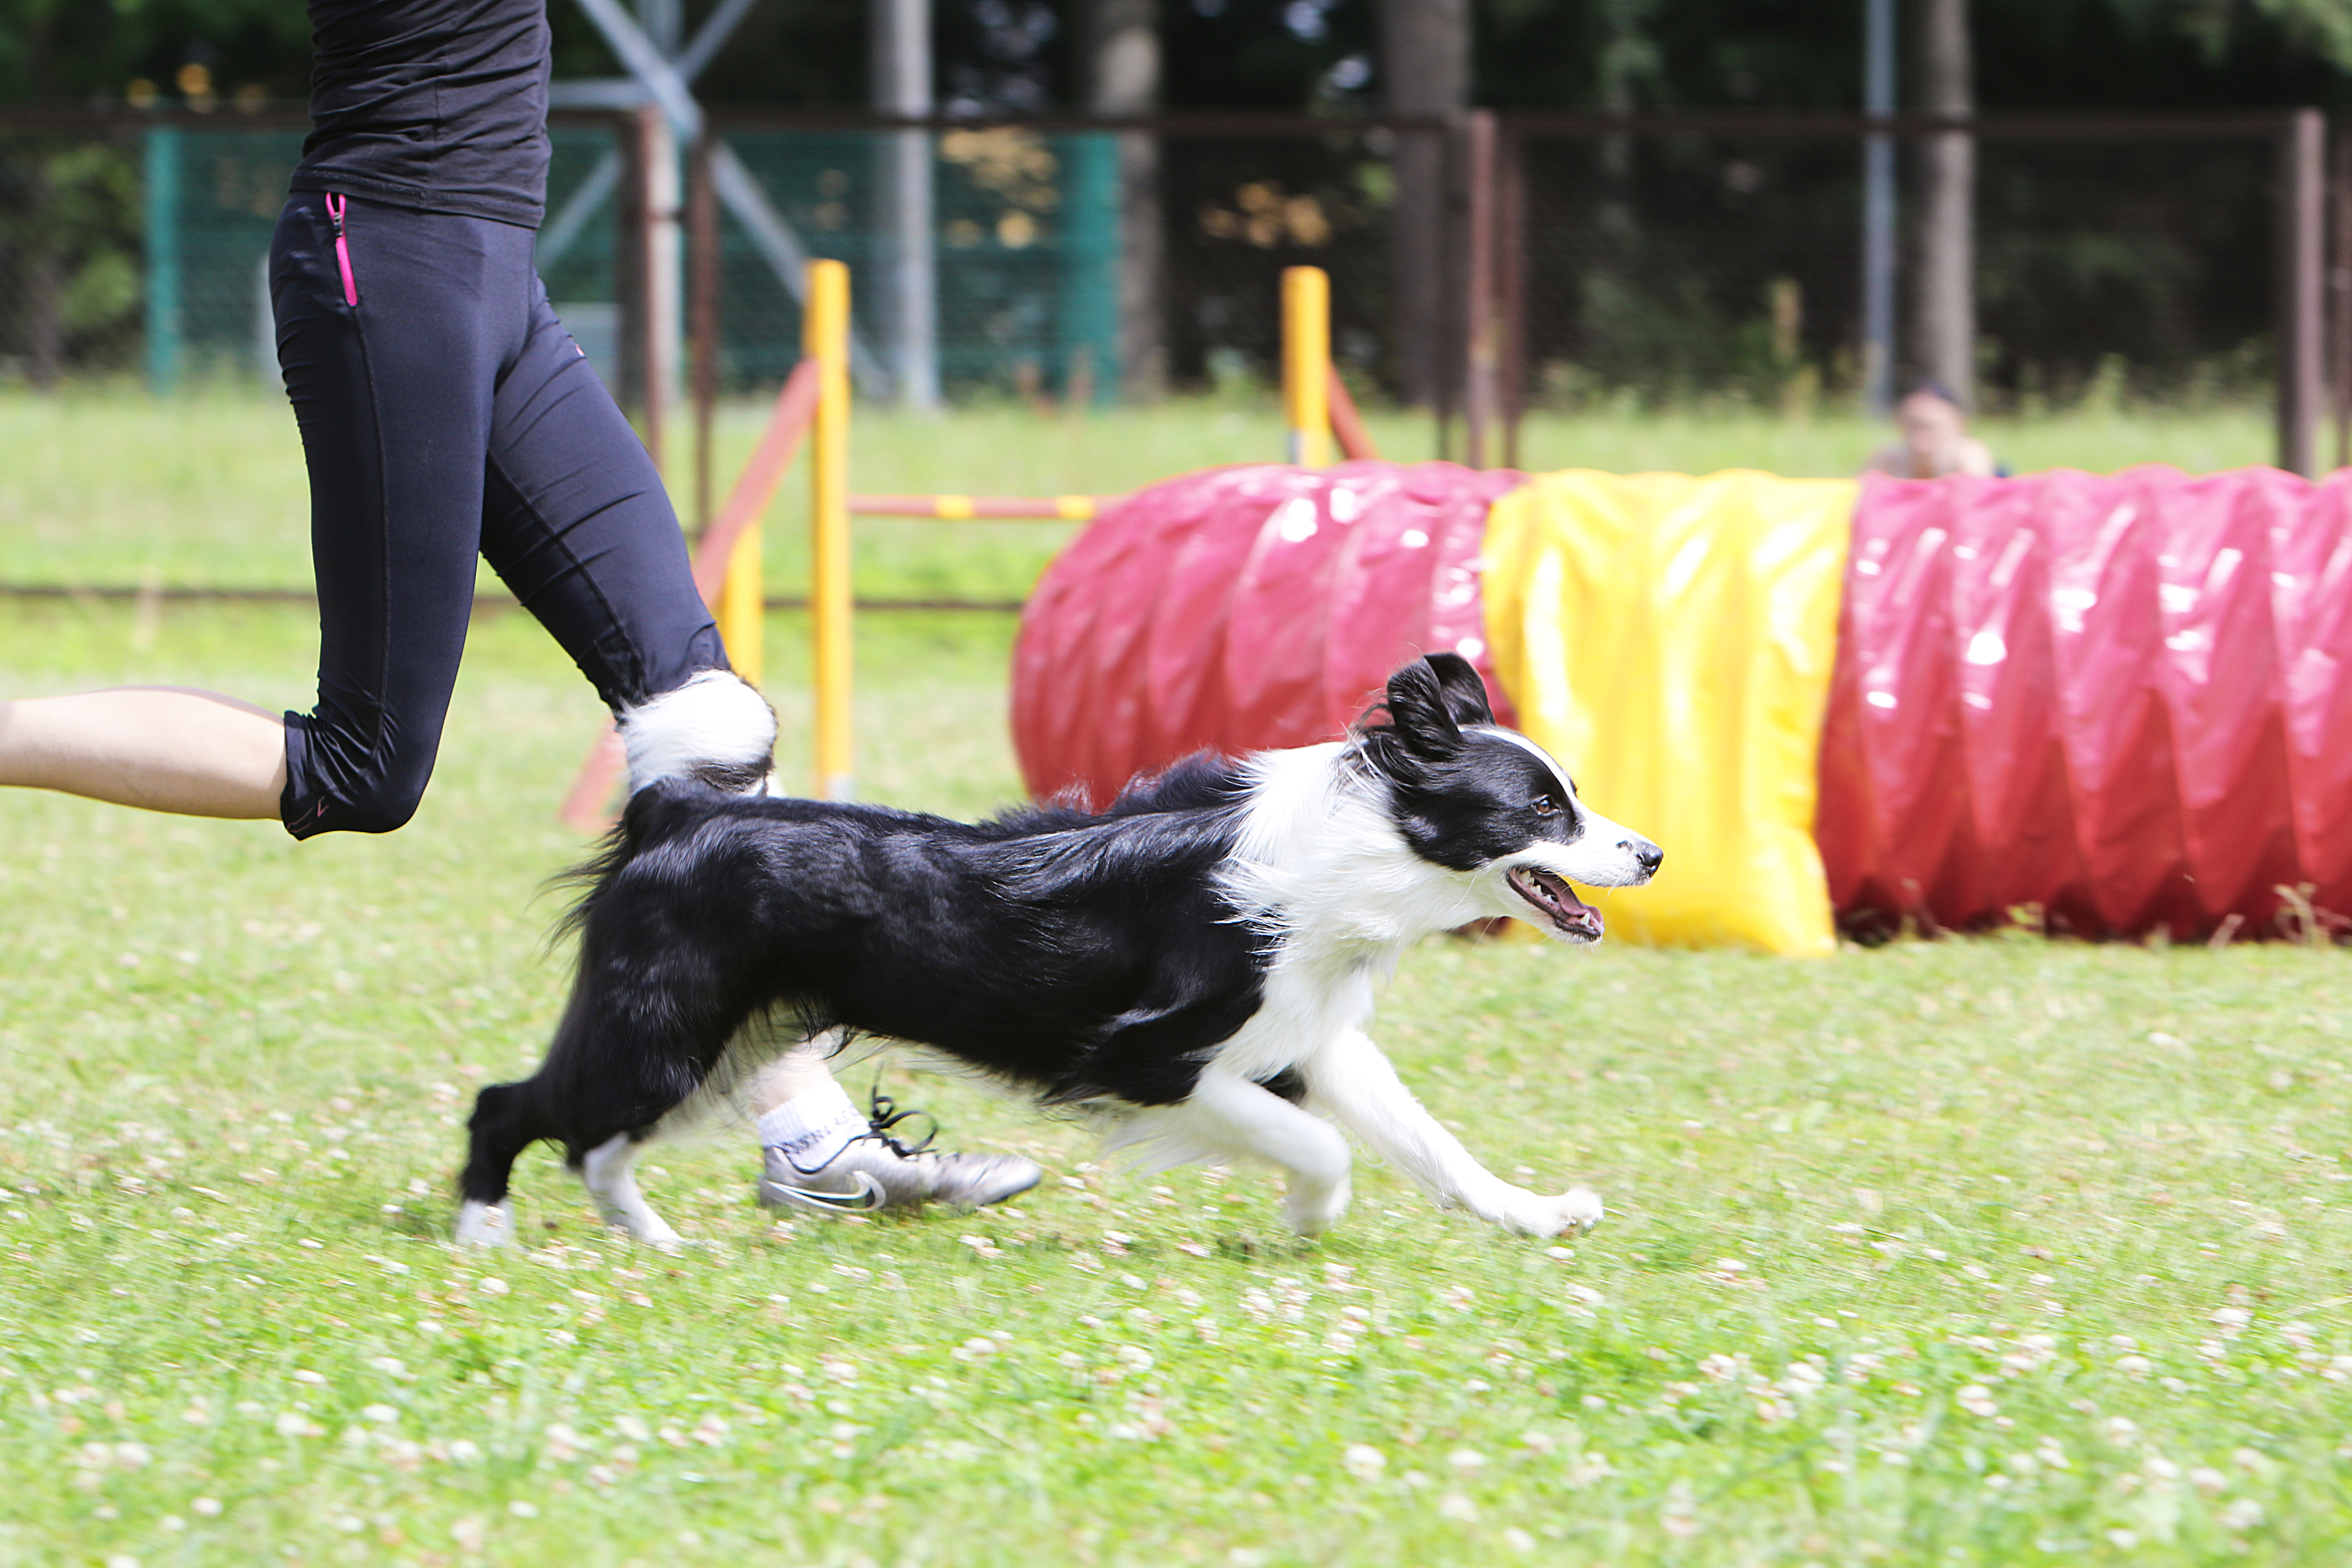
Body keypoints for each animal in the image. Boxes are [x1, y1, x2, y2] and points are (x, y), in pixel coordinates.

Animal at [459, 653, 1665, 1250]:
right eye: (1544, 806)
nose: (1652, 852)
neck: (1358, 847)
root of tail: (678, 812)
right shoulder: (1143, 1060)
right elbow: (1321, 1148)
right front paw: (1304, 1219)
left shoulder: (1308, 1033)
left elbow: (1433, 1146)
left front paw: (1539, 1214)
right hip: (664, 1027)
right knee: (512, 1107)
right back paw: (483, 1239)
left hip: (714, 1040)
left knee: (596, 1145)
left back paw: (651, 1239)